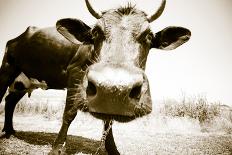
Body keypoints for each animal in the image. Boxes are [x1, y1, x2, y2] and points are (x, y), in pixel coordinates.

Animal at [0, 0, 190, 154]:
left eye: (149, 36)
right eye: (95, 32)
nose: (115, 87)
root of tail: (18, 38)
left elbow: (108, 120)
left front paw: (113, 150)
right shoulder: (75, 74)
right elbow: (69, 113)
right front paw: (57, 148)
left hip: (23, 81)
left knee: (10, 101)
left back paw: (10, 131)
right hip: (7, 68)